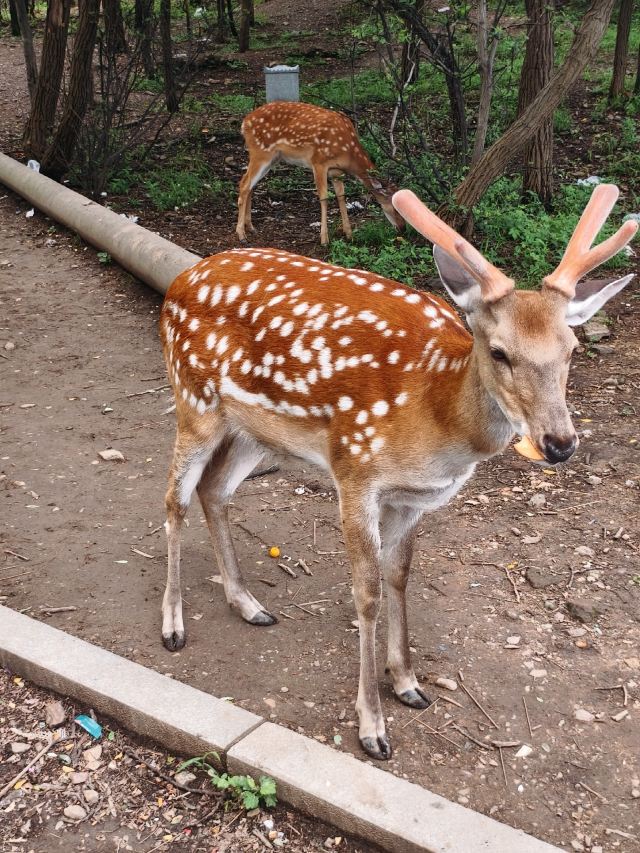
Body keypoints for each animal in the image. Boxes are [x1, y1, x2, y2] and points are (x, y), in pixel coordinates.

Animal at [160, 183, 636, 761]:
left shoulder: (412, 498)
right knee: (175, 498)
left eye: (572, 348)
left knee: (215, 489)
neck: (435, 420)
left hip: (255, 432)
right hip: (194, 401)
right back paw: (173, 625)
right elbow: (365, 594)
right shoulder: (354, 471)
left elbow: (400, 575)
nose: (560, 443)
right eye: (500, 352)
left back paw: (249, 604)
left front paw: (408, 683)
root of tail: (179, 280)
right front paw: (372, 726)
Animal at [235, 101, 405, 246]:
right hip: (260, 152)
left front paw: (349, 234)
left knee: (250, 185)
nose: (402, 228)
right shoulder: (318, 162)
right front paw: (324, 239)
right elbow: (324, 197)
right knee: (244, 184)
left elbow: (341, 196)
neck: (348, 153)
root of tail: (244, 123)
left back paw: (250, 227)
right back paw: (241, 234)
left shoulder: (336, 171)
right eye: (396, 208)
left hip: (272, 158)